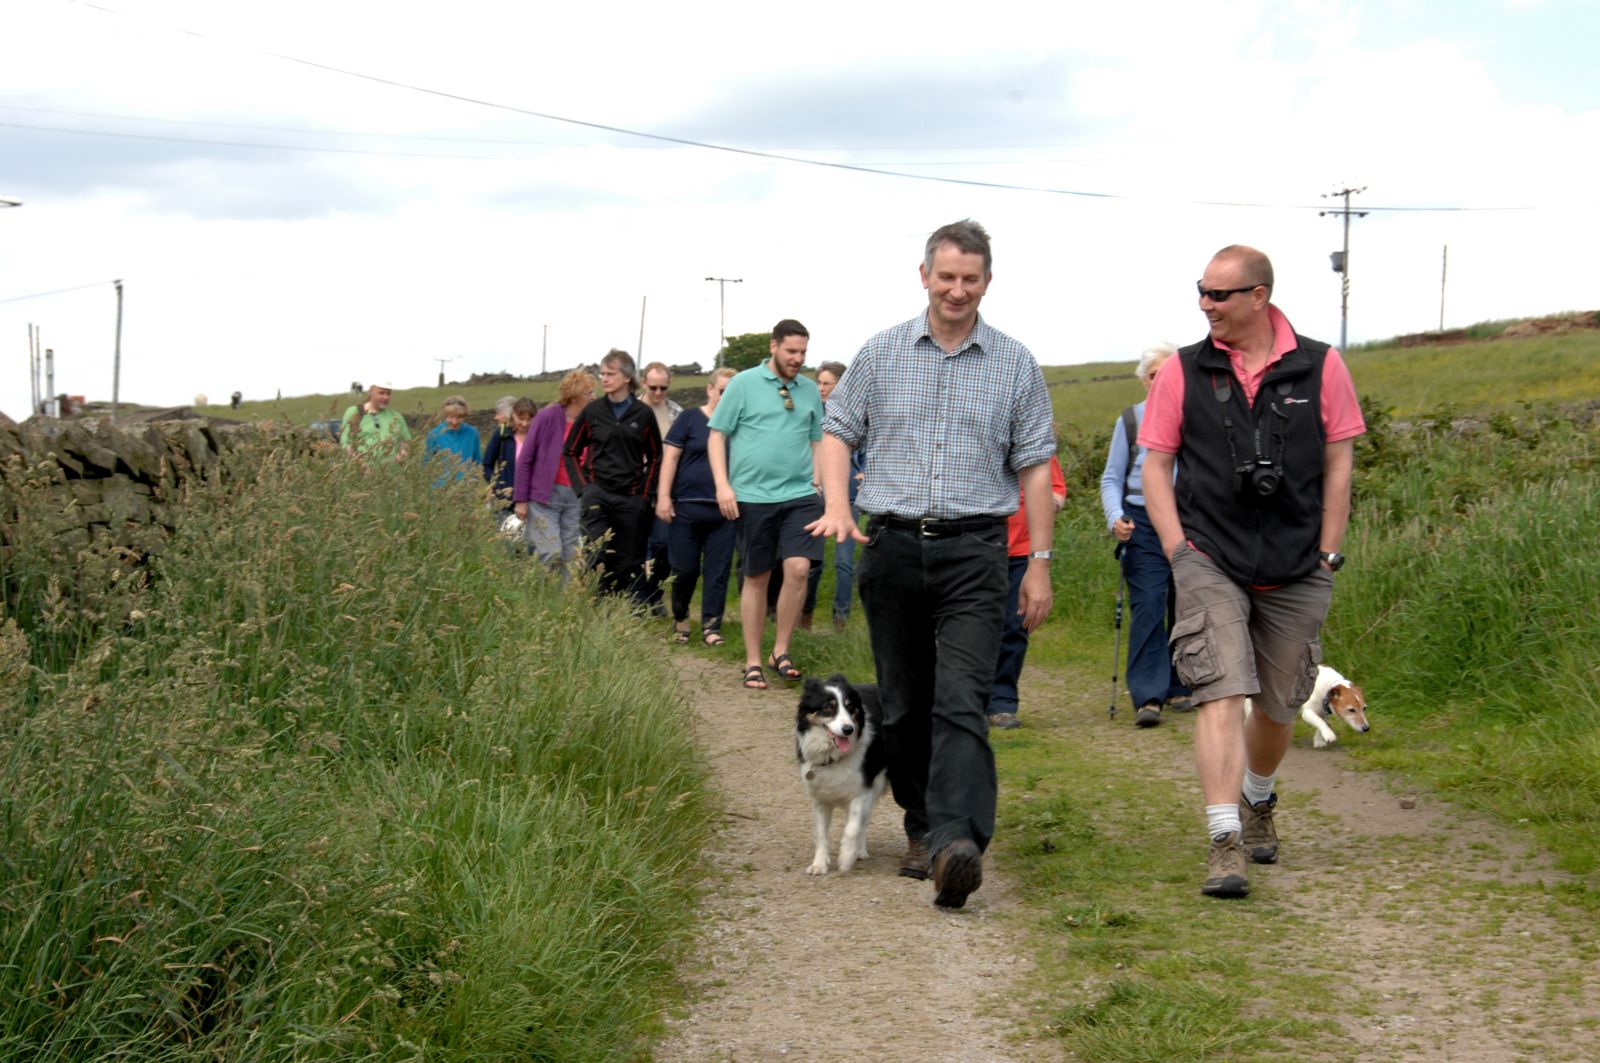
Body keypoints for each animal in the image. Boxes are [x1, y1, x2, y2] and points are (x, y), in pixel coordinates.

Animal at [796, 675, 896, 877]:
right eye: (828, 707)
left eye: (850, 707)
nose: (848, 729)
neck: (833, 756)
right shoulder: (820, 798)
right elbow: (821, 834)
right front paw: (819, 864)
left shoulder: (862, 790)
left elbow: (853, 827)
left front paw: (846, 857)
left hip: (877, 782)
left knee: (864, 821)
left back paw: (859, 851)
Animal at [1241, 665, 1369, 746]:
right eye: (1351, 710)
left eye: (1364, 708)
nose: (1366, 728)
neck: (1329, 686)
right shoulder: (1308, 712)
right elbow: (1320, 722)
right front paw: (1329, 734)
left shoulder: (1322, 711)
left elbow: (1322, 722)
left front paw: (1319, 740)